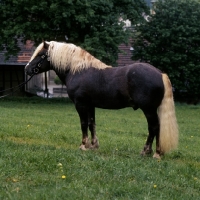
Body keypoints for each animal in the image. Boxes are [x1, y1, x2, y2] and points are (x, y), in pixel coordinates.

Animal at [24, 41, 179, 159]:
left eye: (41, 55)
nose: (27, 69)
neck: (78, 70)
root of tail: (160, 73)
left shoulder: (80, 104)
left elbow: (83, 124)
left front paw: (83, 145)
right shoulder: (90, 105)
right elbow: (92, 124)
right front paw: (93, 145)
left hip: (148, 109)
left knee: (154, 127)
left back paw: (154, 153)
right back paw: (148, 151)